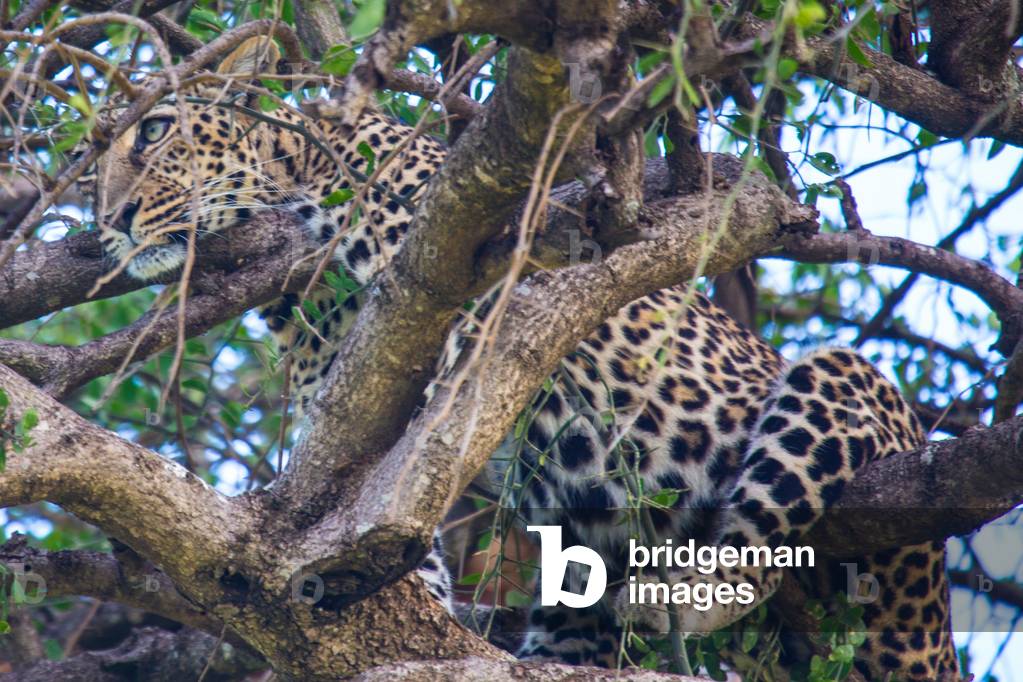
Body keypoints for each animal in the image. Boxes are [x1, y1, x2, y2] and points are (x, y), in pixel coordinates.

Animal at [85, 37, 959, 680]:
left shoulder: (470, 304)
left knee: (758, 557)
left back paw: (667, 592)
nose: (109, 221)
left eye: (154, 131)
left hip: (842, 388)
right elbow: (383, 509)